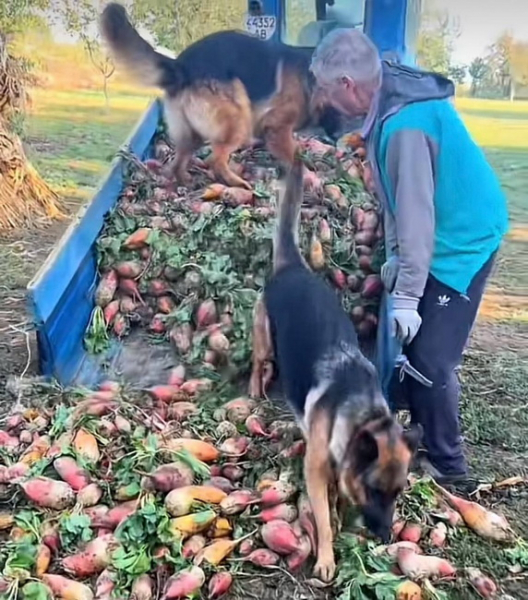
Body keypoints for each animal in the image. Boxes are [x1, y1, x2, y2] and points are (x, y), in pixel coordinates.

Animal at [100, 2, 340, 189]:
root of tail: (181, 65)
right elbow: (295, 154)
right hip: (237, 122)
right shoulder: (277, 128)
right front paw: (307, 174)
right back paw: (236, 183)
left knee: (178, 163)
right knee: (215, 159)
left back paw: (186, 182)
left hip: (192, 134)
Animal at [254, 158, 422, 580]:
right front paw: (328, 558)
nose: (385, 536)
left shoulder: (344, 471)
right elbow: (324, 520)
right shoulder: (314, 473)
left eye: (397, 492)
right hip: (263, 339)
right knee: (257, 364)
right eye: (376, 491)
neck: (363, 414)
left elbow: (341, 501)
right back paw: (253, 392)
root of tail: (294, 267)